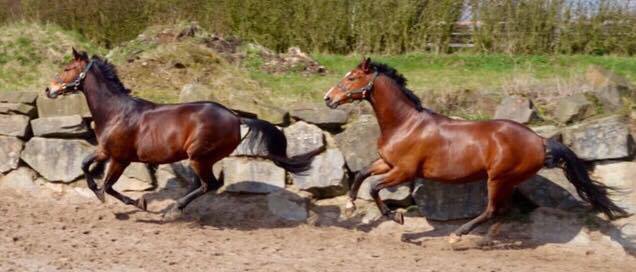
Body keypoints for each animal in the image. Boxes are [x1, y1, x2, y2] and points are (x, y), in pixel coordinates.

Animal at [43, 48, 316, 215]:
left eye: (67, 68)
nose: (49, 89)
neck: (116, 112)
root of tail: (236, 117)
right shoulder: (105, 151)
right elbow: (84, 165)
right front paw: (98, 191)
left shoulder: (120, 158)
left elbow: (108, 186)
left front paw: (138, 202)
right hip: (200, 159)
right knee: (203, 185)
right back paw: (178, 206)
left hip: (199, 157)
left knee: (209, 184)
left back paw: (174, 208)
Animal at [326, 56, 628, 242]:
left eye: (352, 78)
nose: (328, 98)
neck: (405, 124)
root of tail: (540, 141)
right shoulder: (388, 163)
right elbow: (361, 175)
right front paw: (351, 207)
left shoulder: (404, 171)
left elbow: (374, 187)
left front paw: (395, 216)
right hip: (507, 181)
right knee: (502, 211)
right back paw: (488, 237)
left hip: (498, 178)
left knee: (493, 209)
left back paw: (458, 234)